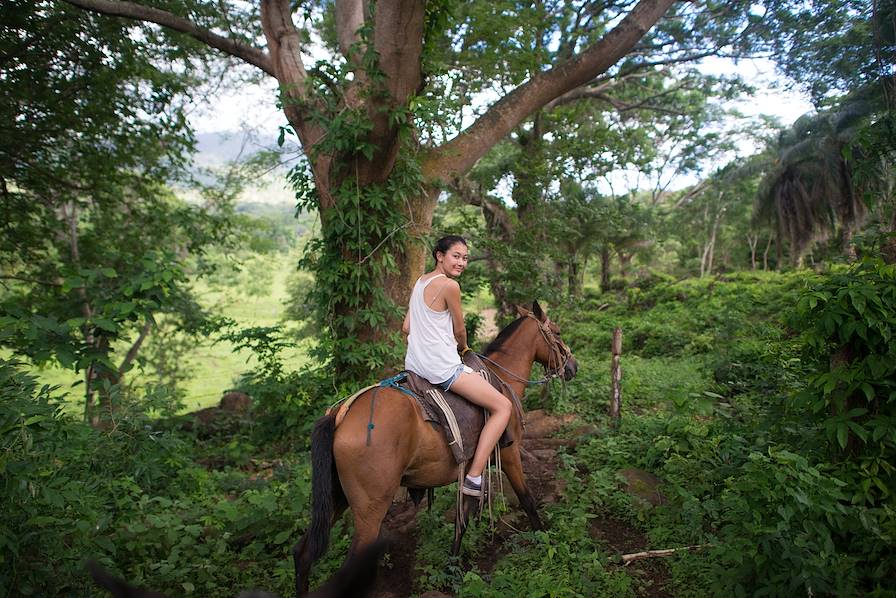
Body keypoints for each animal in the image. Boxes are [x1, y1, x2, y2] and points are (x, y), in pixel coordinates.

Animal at [290, 302, 576, 596]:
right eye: (557, 332)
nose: (572, 366)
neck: (502, 377)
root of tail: (340, 415)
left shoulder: (471, 469)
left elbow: (462, 517)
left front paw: (453, 569)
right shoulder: (509, 453)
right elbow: (527, 499)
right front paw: (545, 540)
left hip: (337, 497)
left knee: (303, 554)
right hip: (370, 509)